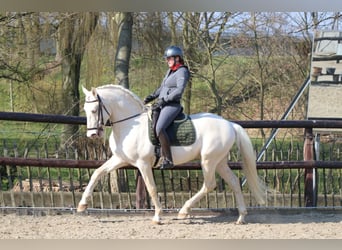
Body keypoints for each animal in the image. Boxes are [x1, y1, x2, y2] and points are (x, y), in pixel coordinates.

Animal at [78, 84, 268, 225]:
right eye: (85, 110)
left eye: (94, 110)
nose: (92, 134)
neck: (130, 124)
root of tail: (229, 124)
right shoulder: (120, 159)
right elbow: (97, 173)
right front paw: (82, 205)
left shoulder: (143, 164)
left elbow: (152, 188)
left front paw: (157, 217)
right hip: (219, 161)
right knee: (234, 182)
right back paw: (241, 217)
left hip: (208, 160)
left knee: (209, 184)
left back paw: (184, 211)